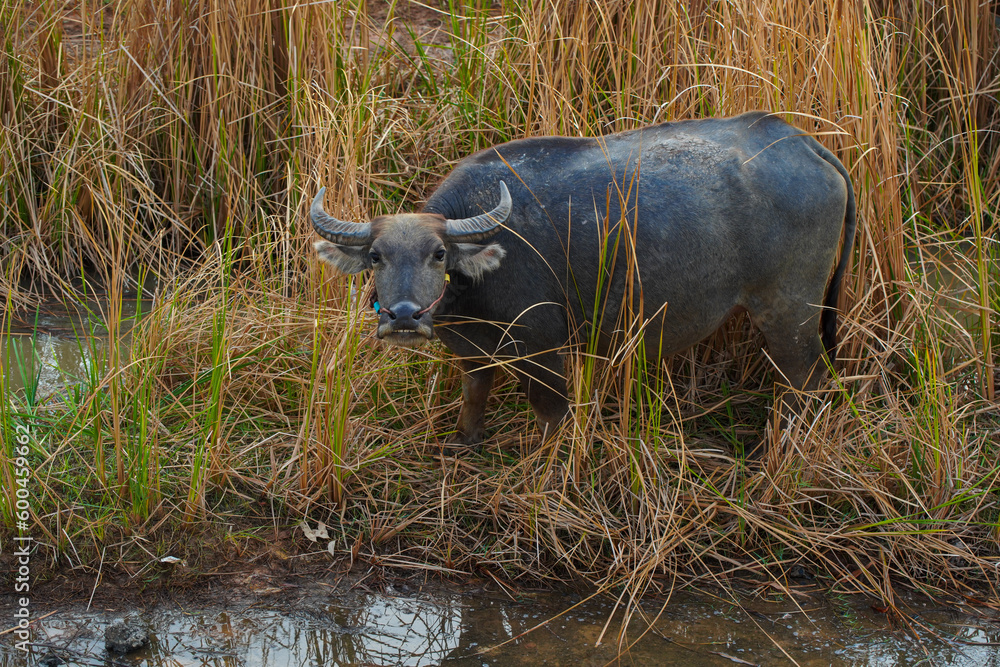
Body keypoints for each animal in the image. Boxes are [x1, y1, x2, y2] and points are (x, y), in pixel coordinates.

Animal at [310, 112, 852, 452]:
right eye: (376, 256)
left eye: (438, 254)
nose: (403, 316)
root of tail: (801, 140)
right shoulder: (473, 351)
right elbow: (474, 393)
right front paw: (465, 442)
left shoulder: (544, 348)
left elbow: (551, 412)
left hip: (789, 310)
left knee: (805, 380)